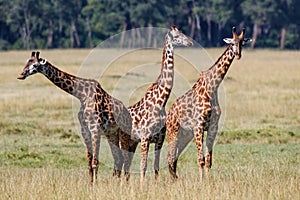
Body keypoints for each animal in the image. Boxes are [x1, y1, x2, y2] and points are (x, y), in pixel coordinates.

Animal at [17, 51, 132, 183]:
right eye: (27, 61)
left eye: (35, 65)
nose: (20, 75)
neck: (82, 95)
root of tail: (128, 115)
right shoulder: (85, 130)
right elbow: (89, 162)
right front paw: (90, 184)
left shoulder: (95, 129)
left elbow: (95, 162)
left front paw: (95, 185)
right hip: (111, 134)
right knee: (119, 159)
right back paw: (116, 183)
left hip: (124, 133)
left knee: (126, 159)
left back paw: (125, 184)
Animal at [118, 25, 193, 183]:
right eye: (177, 36)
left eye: (182, 32)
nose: (190, 42)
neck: (160, 102)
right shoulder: (145, 138)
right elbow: (143, 165)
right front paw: (142, 185)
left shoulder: (159, 139)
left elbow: (156, 165)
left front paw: (155, 184)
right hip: (124, 140)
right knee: (122, 164)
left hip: (132, 143)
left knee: (126, 165)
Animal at [166, 27, 251, 181]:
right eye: (232, 43)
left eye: (242, 43)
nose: (238, 55)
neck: (212, 87)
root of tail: (169, 113)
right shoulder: (198, 126)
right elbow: (200, 159)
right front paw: (201, 182)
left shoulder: (212, 127)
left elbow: (208, 160)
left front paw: (209, 182)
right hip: (173, 131)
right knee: (170, 156)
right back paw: (172, 181)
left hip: (185, 134)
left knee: (174, 157)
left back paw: (175, 179)